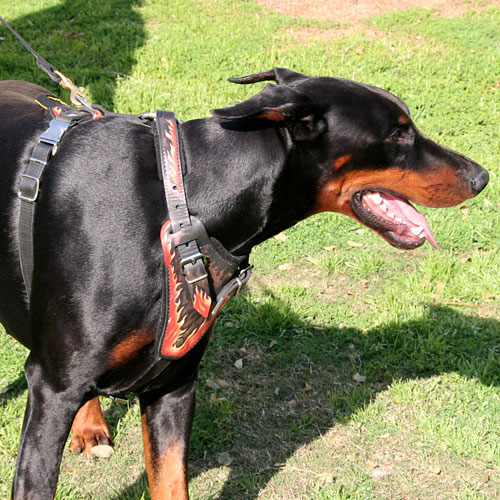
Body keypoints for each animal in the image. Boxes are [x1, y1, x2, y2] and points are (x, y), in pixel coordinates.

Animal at [0, 67, 488, 500]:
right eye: (397, 135)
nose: (482, 177)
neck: (184, 208)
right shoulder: (53, 392)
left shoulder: (173, 383)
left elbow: (172, 483)